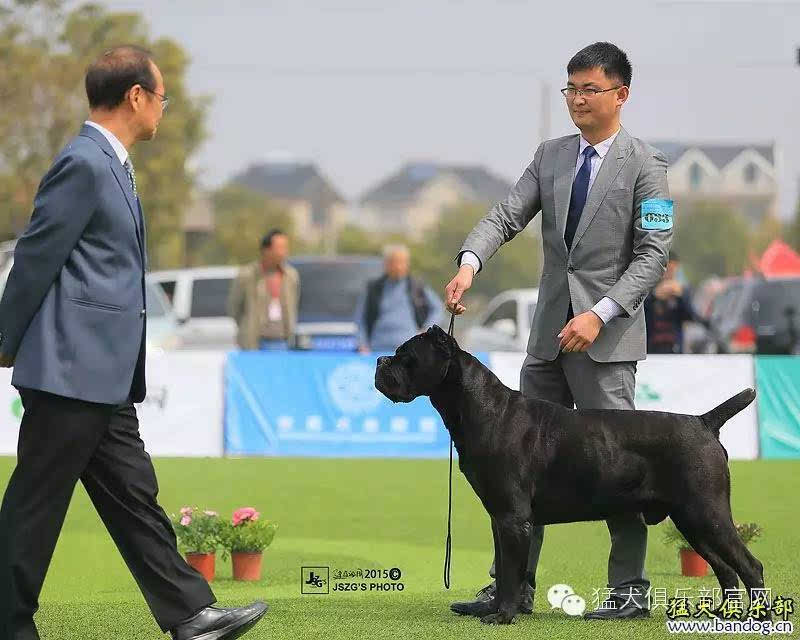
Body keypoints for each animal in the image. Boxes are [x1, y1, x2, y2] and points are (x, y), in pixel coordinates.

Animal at [378, 324, 764, 624]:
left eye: (404, 354)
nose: (380, 361)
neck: (480, 408)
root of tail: (704, 421)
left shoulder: (513, 518)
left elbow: (511, 573)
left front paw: (503, 616)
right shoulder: (500, 517)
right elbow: (503, 569)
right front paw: (492, 607)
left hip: (706, 512)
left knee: (750, 565)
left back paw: (758, 618)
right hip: (691, 520)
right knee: (726, 569)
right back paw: (725, 615)